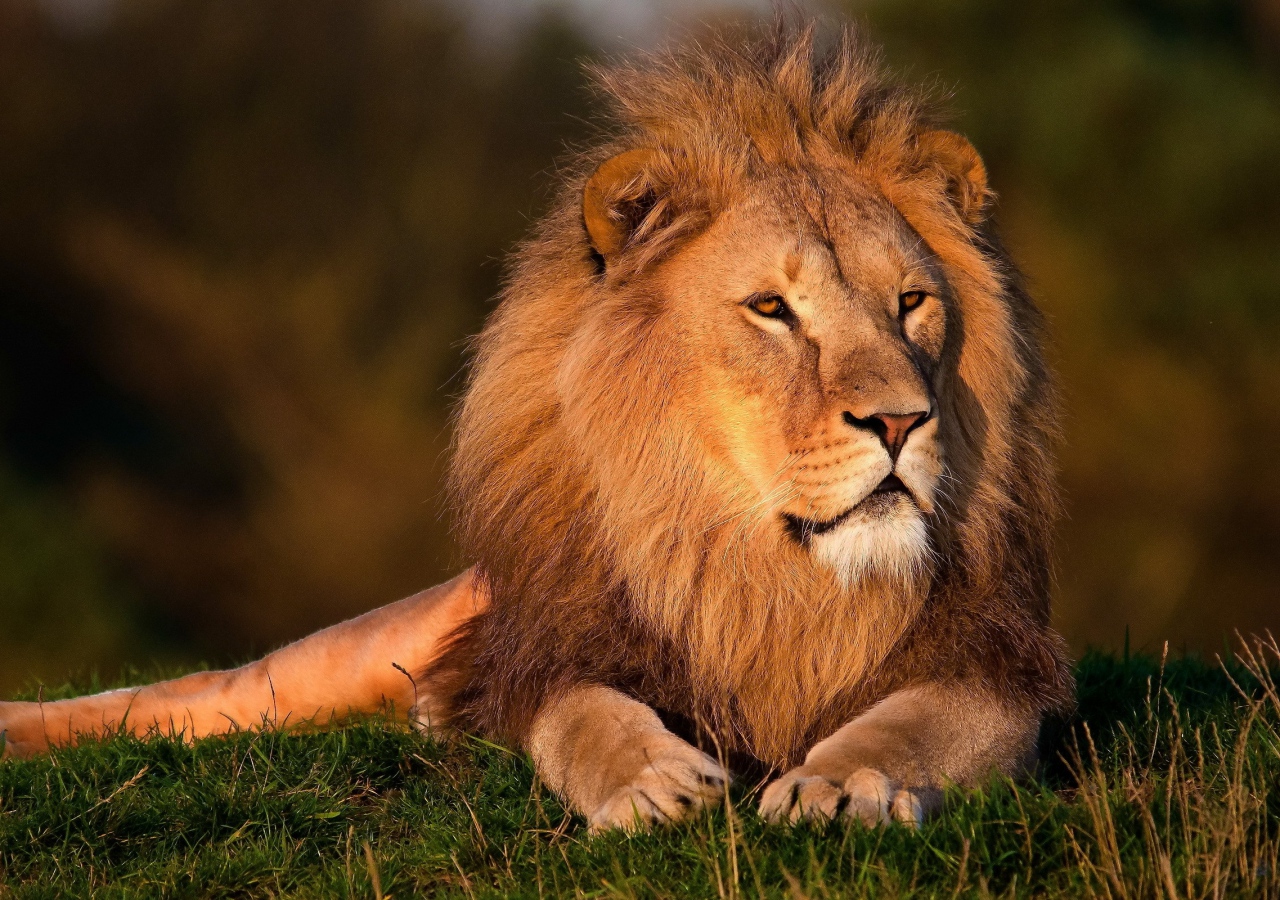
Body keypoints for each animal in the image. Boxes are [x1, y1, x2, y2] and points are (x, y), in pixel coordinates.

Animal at [0, 24, 1072, 831]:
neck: (761, 572)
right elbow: (582, 716)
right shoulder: (548, 655)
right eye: (772, 309)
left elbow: (915, 724)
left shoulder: (994, 667)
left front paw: (842, 782)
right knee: (192, 698)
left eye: (911, 304)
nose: (900, 420)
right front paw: (652, 782)